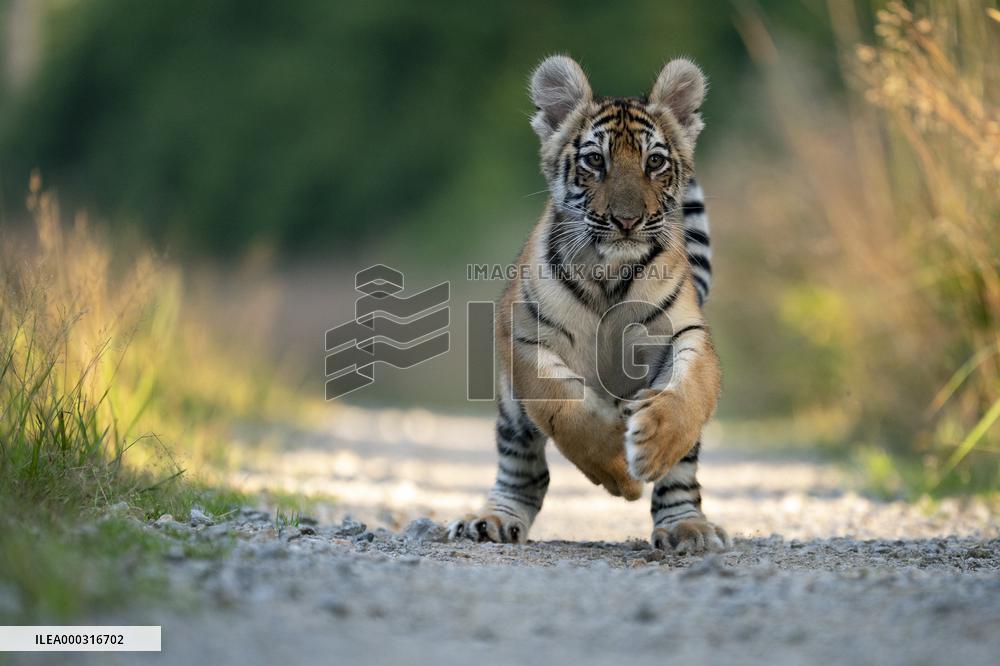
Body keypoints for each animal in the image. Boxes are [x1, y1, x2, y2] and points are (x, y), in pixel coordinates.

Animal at [449, 56, 728, 553]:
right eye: (595, 160)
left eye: (654, 162)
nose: (627, 220)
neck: (609, 273)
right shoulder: (526, 338)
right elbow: (564, 404)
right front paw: (620, 473)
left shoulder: (685, 333)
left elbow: (686, 395)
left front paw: (651, 445)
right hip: (512, 414)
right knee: (523, 469)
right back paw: (491, 520)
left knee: (681, 476)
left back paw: (688, 528)